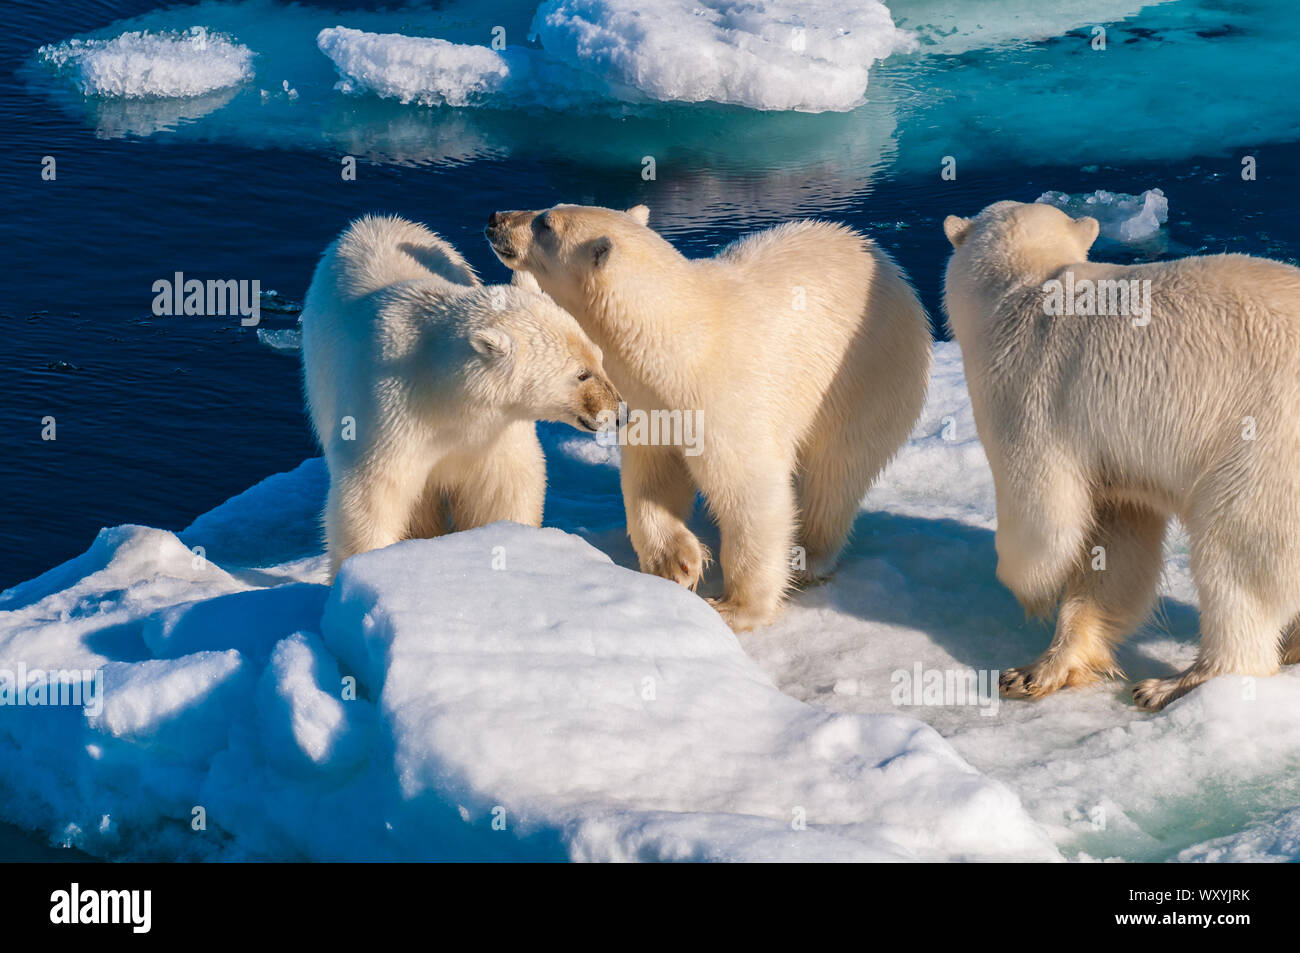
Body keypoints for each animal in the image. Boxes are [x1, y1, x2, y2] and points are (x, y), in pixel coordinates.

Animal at [301, 214, 620, 577]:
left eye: (598, 358)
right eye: (581, 374)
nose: (617, 411)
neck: (441, 389)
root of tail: (372, 221)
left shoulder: (495, 431)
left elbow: (504, 487)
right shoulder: (389, 413)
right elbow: (373, 495)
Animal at [486, 203, 932, 631]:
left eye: (545, 223)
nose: (496, 219)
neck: (677, 346)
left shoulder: (727, 402)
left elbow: (752, 494)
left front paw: (734, 608)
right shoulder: (649, 405)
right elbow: (652, 478)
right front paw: (677, 562)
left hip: (868, 377)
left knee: (837, 472)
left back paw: (811, 556)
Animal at [942, 199, 1300, 710]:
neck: (1029, 283)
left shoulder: (1028, 389)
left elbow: (1043, 516)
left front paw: (1023, 592)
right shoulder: (1113, 452)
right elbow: (1116, 544)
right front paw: (1039, 669)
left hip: (1265, 442)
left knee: (1238, 551)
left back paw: (1174, 683)